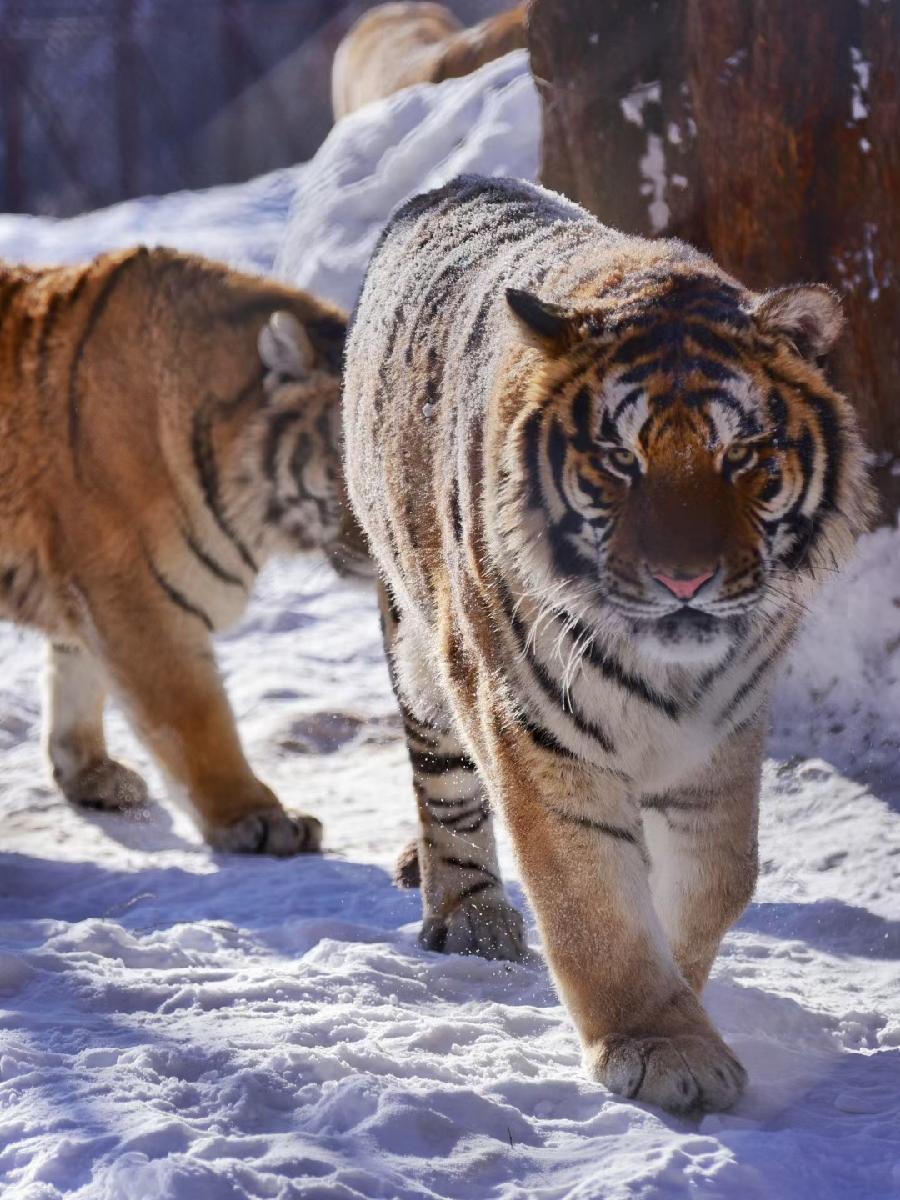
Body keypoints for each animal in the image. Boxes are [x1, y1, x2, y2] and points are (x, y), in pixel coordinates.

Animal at [0, 245, 357, 855]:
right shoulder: (136, 598)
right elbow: (195, 719)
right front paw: (258, 819)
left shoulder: (85, 586)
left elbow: (74, 672)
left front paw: (89, 775)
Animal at [340, 175, 873, 1112]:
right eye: (620, 461)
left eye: (742, 455)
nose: (684, 580)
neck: (670, 675)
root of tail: (453, 185)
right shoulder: (534, 727)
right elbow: (592, 901)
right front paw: (665, 1052)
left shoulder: (722, 733)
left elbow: (715, 878)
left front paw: (682, 995)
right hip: (419, 646)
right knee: (445, 789)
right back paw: (472, 921)